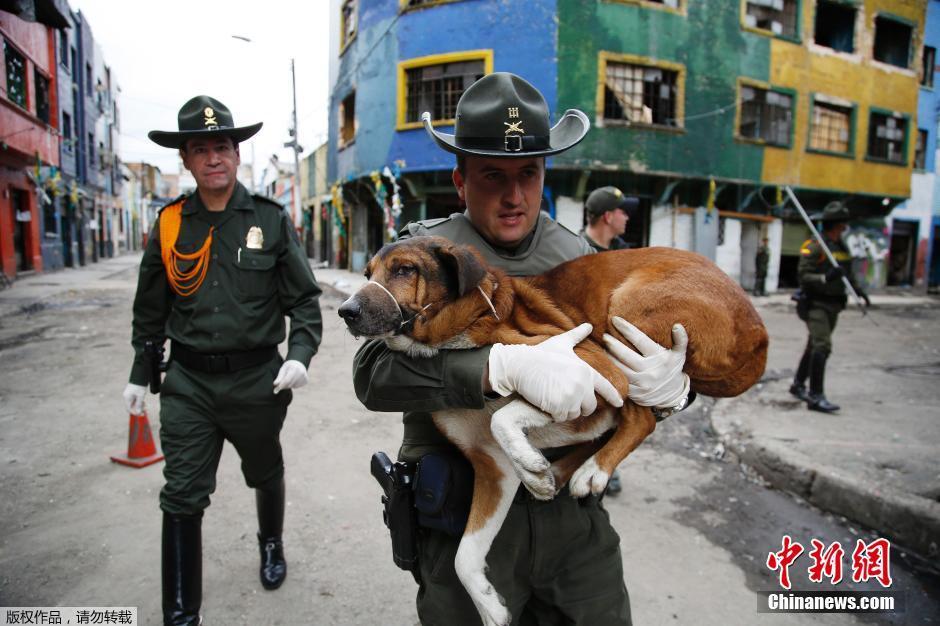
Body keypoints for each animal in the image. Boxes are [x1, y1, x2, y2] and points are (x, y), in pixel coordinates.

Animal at [121, 95, 324, 620]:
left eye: (222, 146)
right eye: (201, 147)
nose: (215, 161)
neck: (215, 204)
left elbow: (304, 298)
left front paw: (293, 369)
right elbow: (182, 498)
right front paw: (180, 610)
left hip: (257, 421)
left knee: (267, 472)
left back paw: (272, 554)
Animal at [342, 235, 768, 624]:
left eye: (404, 269)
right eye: (367, 274)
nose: (346, 311)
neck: (460, 334)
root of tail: (759, 334)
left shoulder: (591, 371)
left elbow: (505, 414)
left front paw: (531, 462)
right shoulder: (493, 467)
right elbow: (465, 556)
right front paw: (490, 607)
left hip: (626, 320)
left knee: (640, 418)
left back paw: (592, 471)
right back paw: (562, 473)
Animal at [788, 202, 872, 412]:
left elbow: (851, 276)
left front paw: (862, 296)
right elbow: (806, 272)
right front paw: (819, 399)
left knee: (813, 345)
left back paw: (799, 388)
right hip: (818, 313)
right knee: (820, 346)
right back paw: (815, 397)